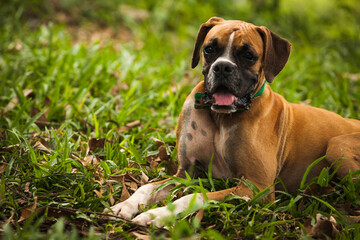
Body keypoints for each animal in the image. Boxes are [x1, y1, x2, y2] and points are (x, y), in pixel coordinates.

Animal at [106, 17, 360, 227]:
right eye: (209, 49)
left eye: (248, 55)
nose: (223, 67)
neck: (221, 117)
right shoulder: (187, 173)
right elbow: (148, 186)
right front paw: (126, 205)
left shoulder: (257, 188)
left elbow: (194, 196)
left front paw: (157, 215)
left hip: (337, 146)